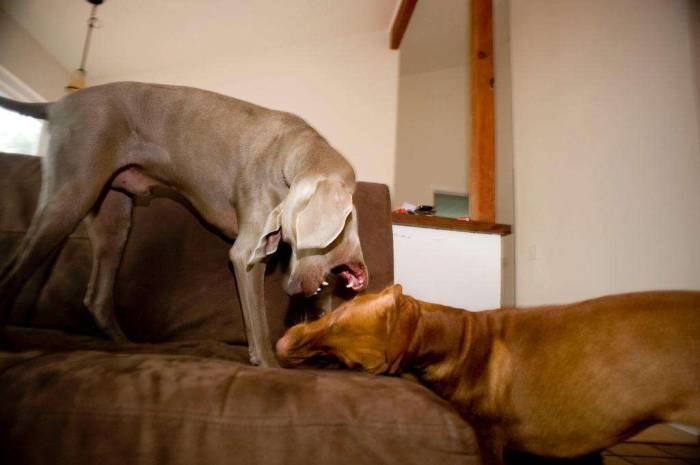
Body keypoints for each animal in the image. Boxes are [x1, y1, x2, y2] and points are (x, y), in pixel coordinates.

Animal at [0, 82, 370, 366]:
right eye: (289, 239)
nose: (290, 289)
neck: (295, 151)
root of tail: (59, 104)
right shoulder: (245, 254)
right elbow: (259, 324)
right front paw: (268, 365)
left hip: (112, 217)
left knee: (96, 297)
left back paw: (128, 345)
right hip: (72, 194)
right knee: (14, 272)